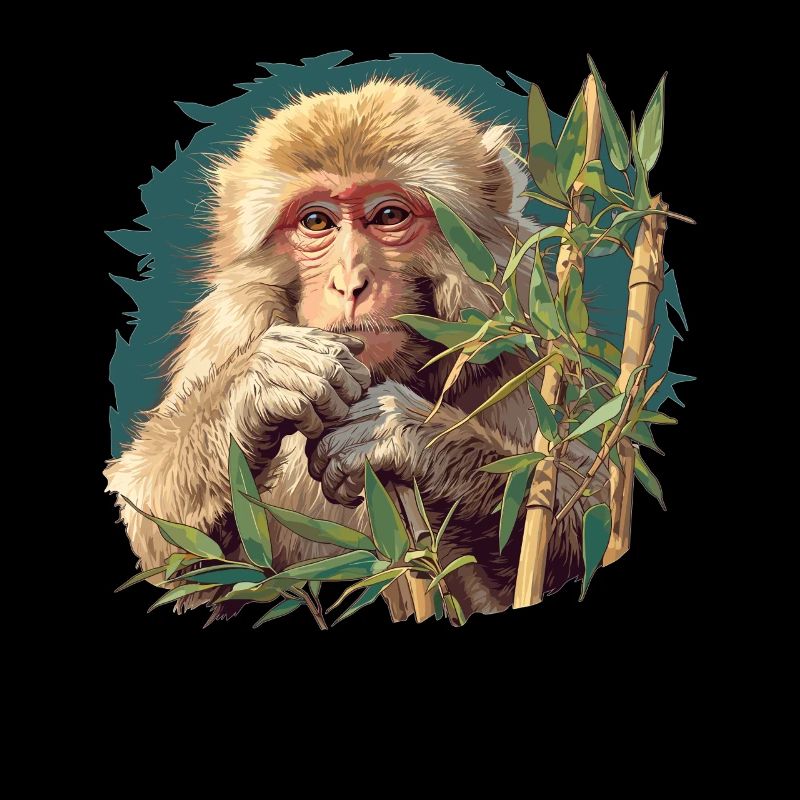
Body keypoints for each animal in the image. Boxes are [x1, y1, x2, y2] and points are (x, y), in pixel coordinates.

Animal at [105, 77, 609, 623]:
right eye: (316, 222)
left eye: (389, 215)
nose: (349, 283)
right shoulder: (233, 325)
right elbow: (167, 546)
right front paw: (266, 383)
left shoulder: (530, 344)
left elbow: (592, 513)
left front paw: (403, 435)